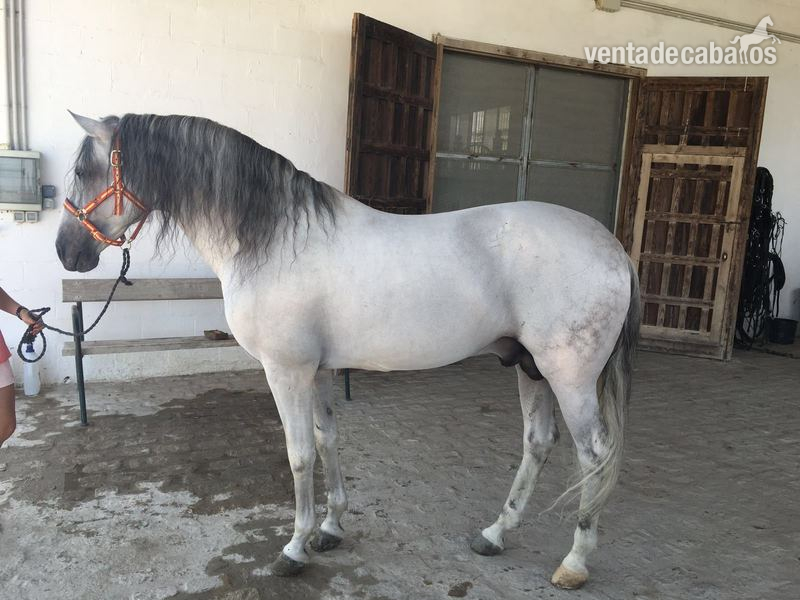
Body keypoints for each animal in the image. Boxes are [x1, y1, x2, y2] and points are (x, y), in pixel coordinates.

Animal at [55, 112, 640, 590]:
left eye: (85, 170)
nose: (66, 251)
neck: (274, 239)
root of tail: (612, 248)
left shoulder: (286, 371)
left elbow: (298, 454)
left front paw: (294, 548)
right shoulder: (317, 371)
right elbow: (326, 439)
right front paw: (331, 527)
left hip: (569, 377)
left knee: (594, 454)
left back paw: (575, 562)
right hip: (530, 368)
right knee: (538, 443)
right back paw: (495, 533)